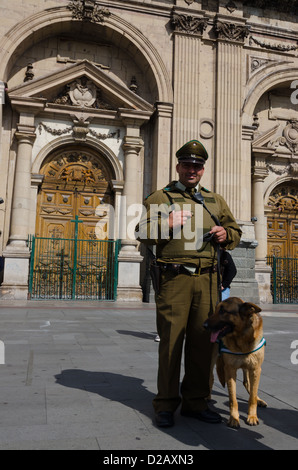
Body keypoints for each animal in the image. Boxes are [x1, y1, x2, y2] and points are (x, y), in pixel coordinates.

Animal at [205, 300, 268, 428]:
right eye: (216, 310)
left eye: (223, 311)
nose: (205, 325)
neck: (241, 337)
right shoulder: (230, 370)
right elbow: (233, 399)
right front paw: (234, 418)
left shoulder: (255, 369)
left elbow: (252, 396)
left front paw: (252, 416)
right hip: (212, 360)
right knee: (210, 377)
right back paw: (207, 396)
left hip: (248, 368)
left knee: (248, 384)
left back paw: (259, 400)